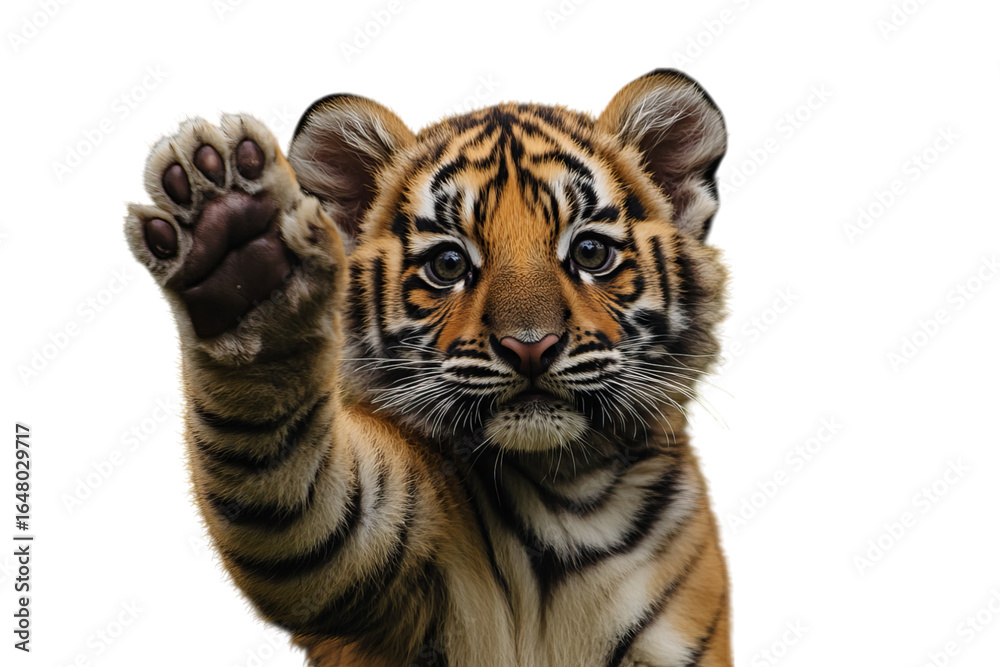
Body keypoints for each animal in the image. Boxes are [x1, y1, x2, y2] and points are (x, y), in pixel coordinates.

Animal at [124, 68, 732, 666]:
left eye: (588, 253)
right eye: (449, 264)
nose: (530, 346)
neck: (568, 494)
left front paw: (236, 234)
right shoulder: (368, 541)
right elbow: (291, 482)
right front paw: (236, 247)